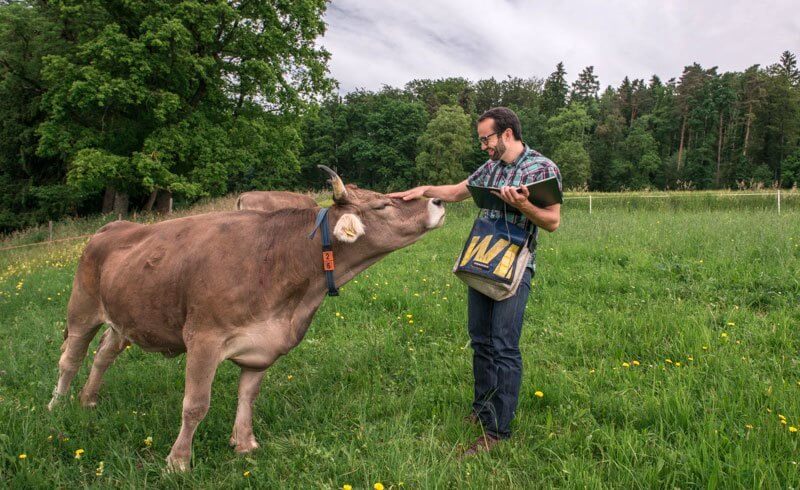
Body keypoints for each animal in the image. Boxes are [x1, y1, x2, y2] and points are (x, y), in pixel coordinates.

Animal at [47, 167, 446, 470]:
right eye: (383, 203)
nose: (438, 200)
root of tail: (112, 226)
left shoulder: (263, 345)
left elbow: (248, 395)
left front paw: (244, 443)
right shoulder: (203, 339)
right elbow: (195, 405)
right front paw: (178, 462)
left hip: (126, 318)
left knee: (103, 355)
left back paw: (88, 401)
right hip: (82, 307)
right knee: (70, 358)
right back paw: (56, 407)